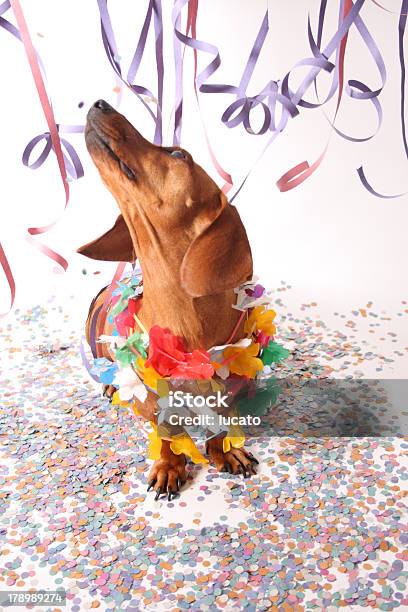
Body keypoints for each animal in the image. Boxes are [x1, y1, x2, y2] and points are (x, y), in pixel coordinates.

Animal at [77, 100, 258, 500]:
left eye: (178, 154)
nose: (99, 103)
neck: (184, 317)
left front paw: (225, 447)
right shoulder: (148, 392)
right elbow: (165, 428)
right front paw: (170, 463)